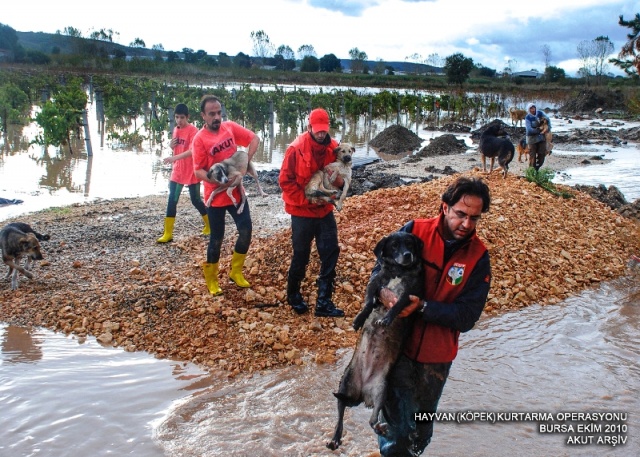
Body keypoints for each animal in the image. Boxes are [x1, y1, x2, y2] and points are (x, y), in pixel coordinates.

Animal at [324, 232, 424, 448]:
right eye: (394, 245)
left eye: (410, 244)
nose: (407, 255)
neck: (399, 270)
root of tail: (362, 393)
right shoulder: (375, 283)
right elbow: (370, 301)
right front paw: (359, 319)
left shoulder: (410, 294)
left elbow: (397, 306)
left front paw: (386, 318)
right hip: (344, 382)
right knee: (340, 412)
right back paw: (335, 437)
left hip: (381, 390)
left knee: (372, 419)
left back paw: (378, 427)